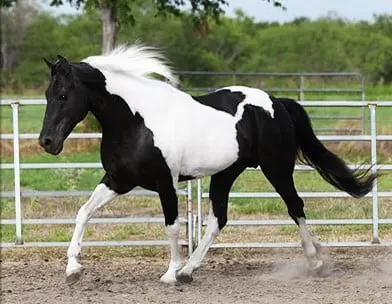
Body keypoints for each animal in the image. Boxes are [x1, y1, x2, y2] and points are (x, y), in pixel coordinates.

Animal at [38, 44, 376, 284]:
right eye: (47, 94)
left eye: (64, 95)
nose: (47, 142)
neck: (135, 121)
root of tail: (276, 102)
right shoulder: (118, 179)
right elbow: (84, 212)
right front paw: (73, 269)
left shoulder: (166, 181)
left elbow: (172, 226)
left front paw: (169, 274)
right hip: (226, 173)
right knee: (218, 220)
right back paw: (190, 271)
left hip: (277, 169)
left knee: (296, 207)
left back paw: (315, 262)